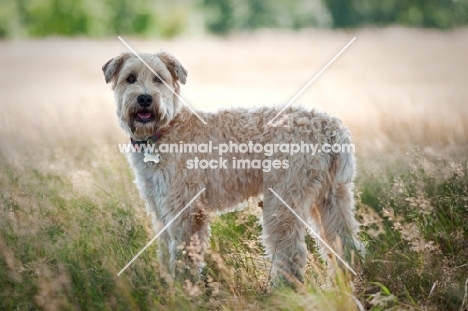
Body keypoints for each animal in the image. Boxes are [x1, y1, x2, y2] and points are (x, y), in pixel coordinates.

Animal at [103, 51, 366, 286]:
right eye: (130, 78)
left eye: (159, 78)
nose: (145, 99)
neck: (164, 131)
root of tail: (330, 127)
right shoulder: (160, 207)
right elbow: (166, 249)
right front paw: (167, 283)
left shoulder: (185, 209)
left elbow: (184, 253)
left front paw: (183, 287)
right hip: (332, 198)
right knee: (346, 245)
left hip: (282, 202)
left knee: (292, 252)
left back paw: (283, 290)